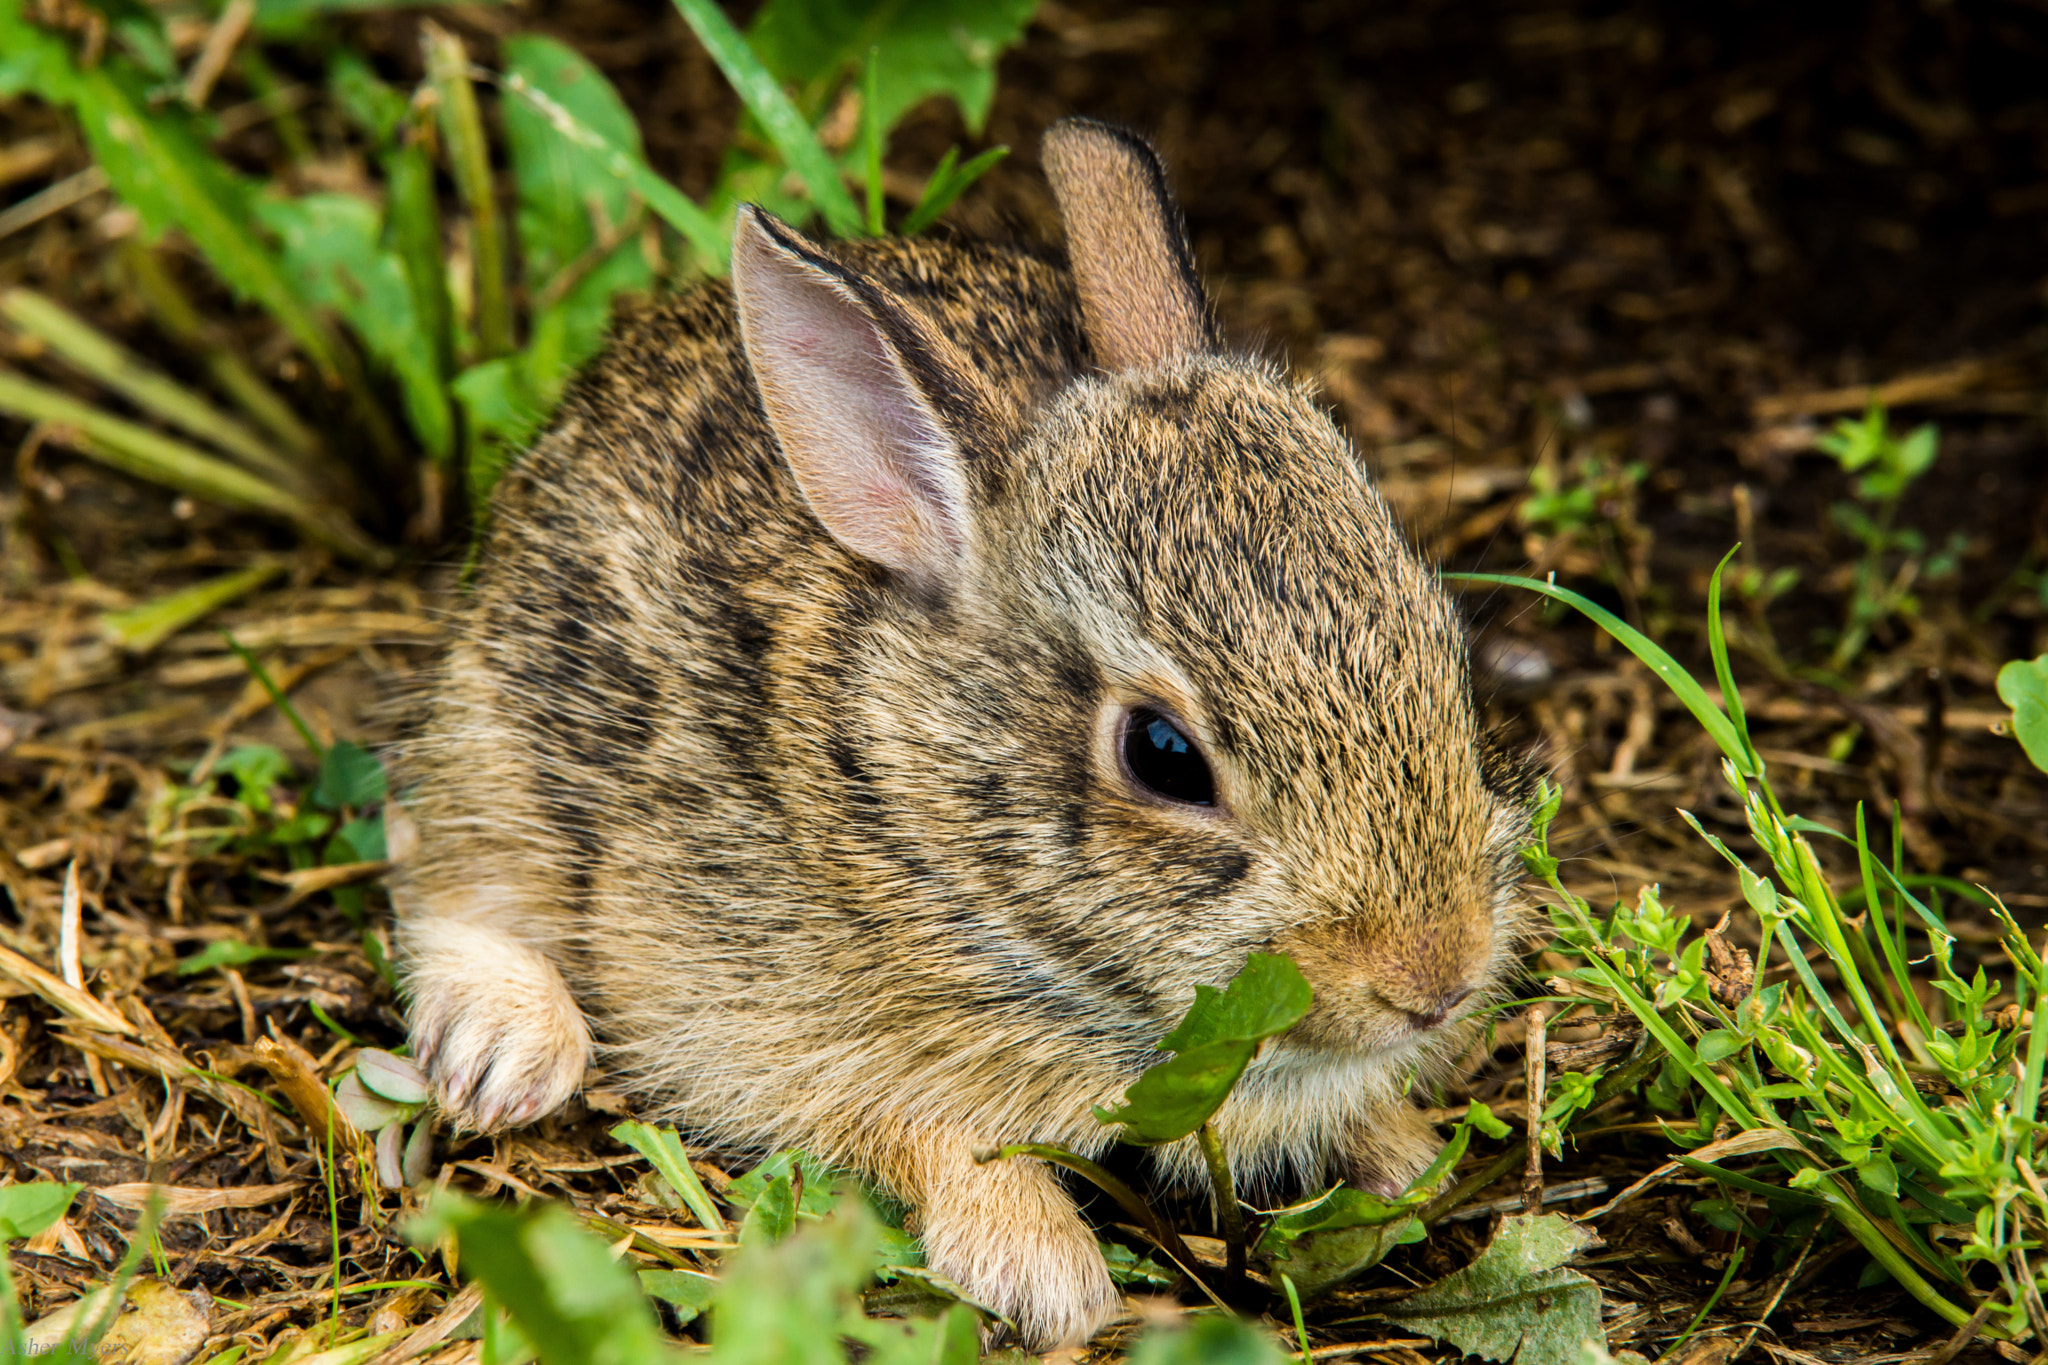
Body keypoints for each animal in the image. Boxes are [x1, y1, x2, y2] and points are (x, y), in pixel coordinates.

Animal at [387, 120, 1540, 1358]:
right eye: (1161, 755)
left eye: (1444, 648)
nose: (1435, 978)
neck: (921, 799)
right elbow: (929, 1136)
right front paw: (1045, 1278)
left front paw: (1409, 1160)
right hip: (503, 732)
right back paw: (509, 1053)